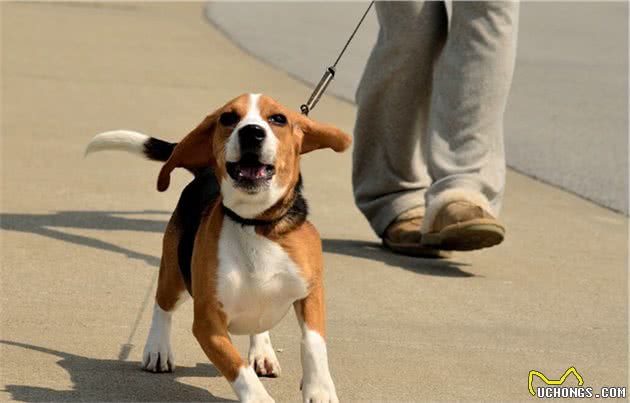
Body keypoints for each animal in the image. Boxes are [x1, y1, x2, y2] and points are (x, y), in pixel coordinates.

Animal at [84, 94, 354, 403]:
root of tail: (206, 171)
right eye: (228, 118)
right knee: (162, 305)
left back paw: (262, 352)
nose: (252, 132)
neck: (254, 224)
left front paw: (320, 389)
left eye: (278, 119)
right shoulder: (207, 322)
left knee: (259, 327)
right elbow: (236, 366)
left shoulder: (312, 293)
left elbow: (312, 342)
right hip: (175, 274)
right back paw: (157, 348)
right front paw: (259, 398)